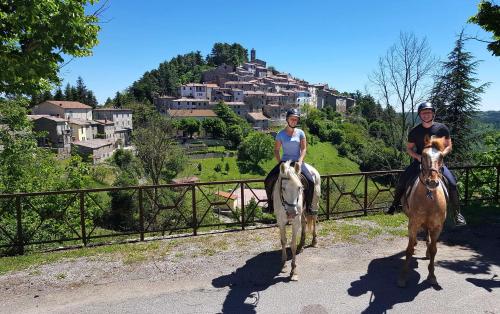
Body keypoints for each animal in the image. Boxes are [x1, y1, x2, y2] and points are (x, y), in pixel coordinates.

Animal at [398, 135, 450, 288]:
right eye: (424, 155)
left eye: (441, 157)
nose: (432, 182)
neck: (429, 196)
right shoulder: (413, 224)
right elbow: (409, 249)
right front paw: (403, 277)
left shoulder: (437, 226)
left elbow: (434, 249)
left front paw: (432, 276)